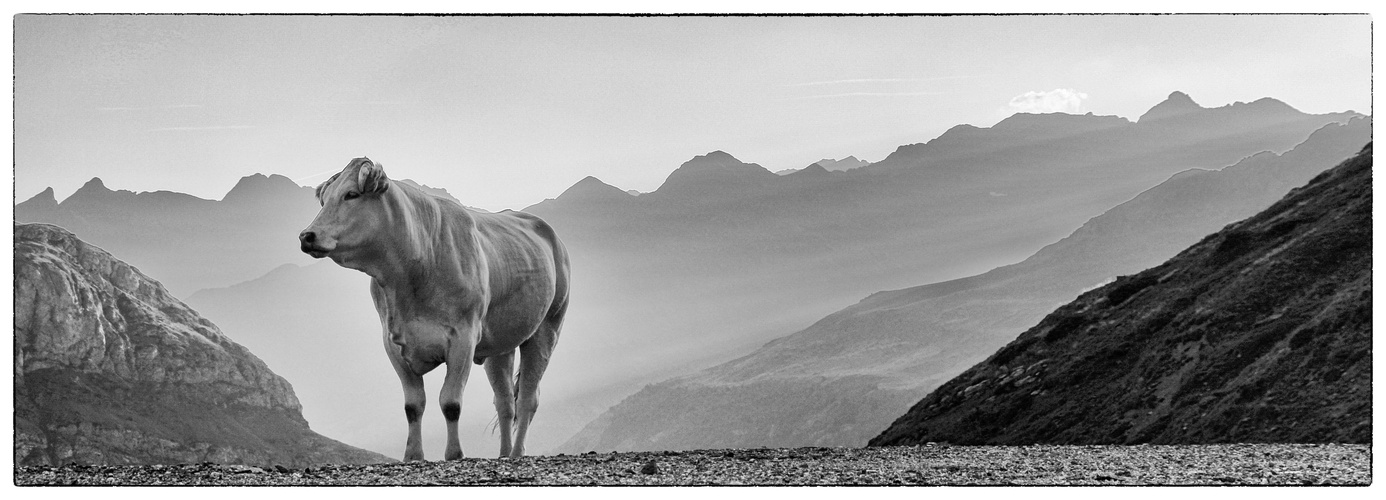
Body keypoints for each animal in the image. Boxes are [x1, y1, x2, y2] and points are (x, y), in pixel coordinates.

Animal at [297, 156, 568, 459]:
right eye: (325, 200)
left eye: (351, 194)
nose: (307, 235)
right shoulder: (392, 343)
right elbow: (413, 406)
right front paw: (413, 455)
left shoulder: (463, 338)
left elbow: (450, 402)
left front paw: (454, 454)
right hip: (501, 344)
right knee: (505, 402)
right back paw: (503, 453)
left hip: (547, 328)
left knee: (527, 400)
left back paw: (517, 453)